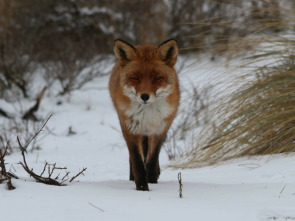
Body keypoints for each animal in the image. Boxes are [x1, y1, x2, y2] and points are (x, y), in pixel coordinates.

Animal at [109, 38, 180, 191]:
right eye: (135, 78)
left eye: (157, 78)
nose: (145, 96)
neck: (148, 115)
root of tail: (145, 45)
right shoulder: (130, 129)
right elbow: (137, 160)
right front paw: (142, 187)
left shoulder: (160, 129)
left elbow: (152, 159)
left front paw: (152, 180)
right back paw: (132, 177)